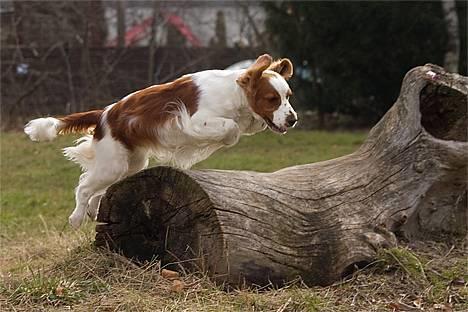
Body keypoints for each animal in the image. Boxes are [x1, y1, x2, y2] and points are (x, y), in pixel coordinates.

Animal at [24, 54, 296, 229]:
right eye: (272, 99)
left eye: (288, 96)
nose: (293, 120)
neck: (235, 93)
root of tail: (104, 114)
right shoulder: (197, 120)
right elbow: (231, 129)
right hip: (114, 164)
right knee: (83, 186)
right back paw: (77, 217)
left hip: (131, 163)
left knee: (98, 188)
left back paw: (92, 208)